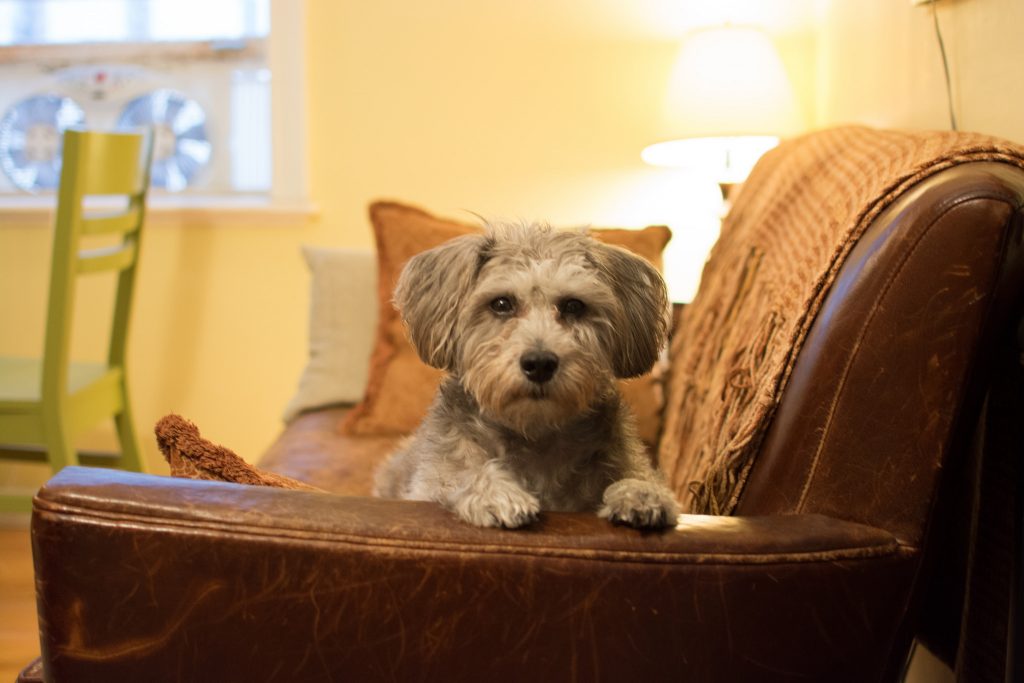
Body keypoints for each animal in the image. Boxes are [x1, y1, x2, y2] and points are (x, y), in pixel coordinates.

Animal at [374, 222, 679, 532]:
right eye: (501, 303)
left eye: (573, 306)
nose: (540, 363)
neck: (535, 433)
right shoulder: (431, 482)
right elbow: (459, 474)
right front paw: (496, 494)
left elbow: (635, 475)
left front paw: (641, 492)